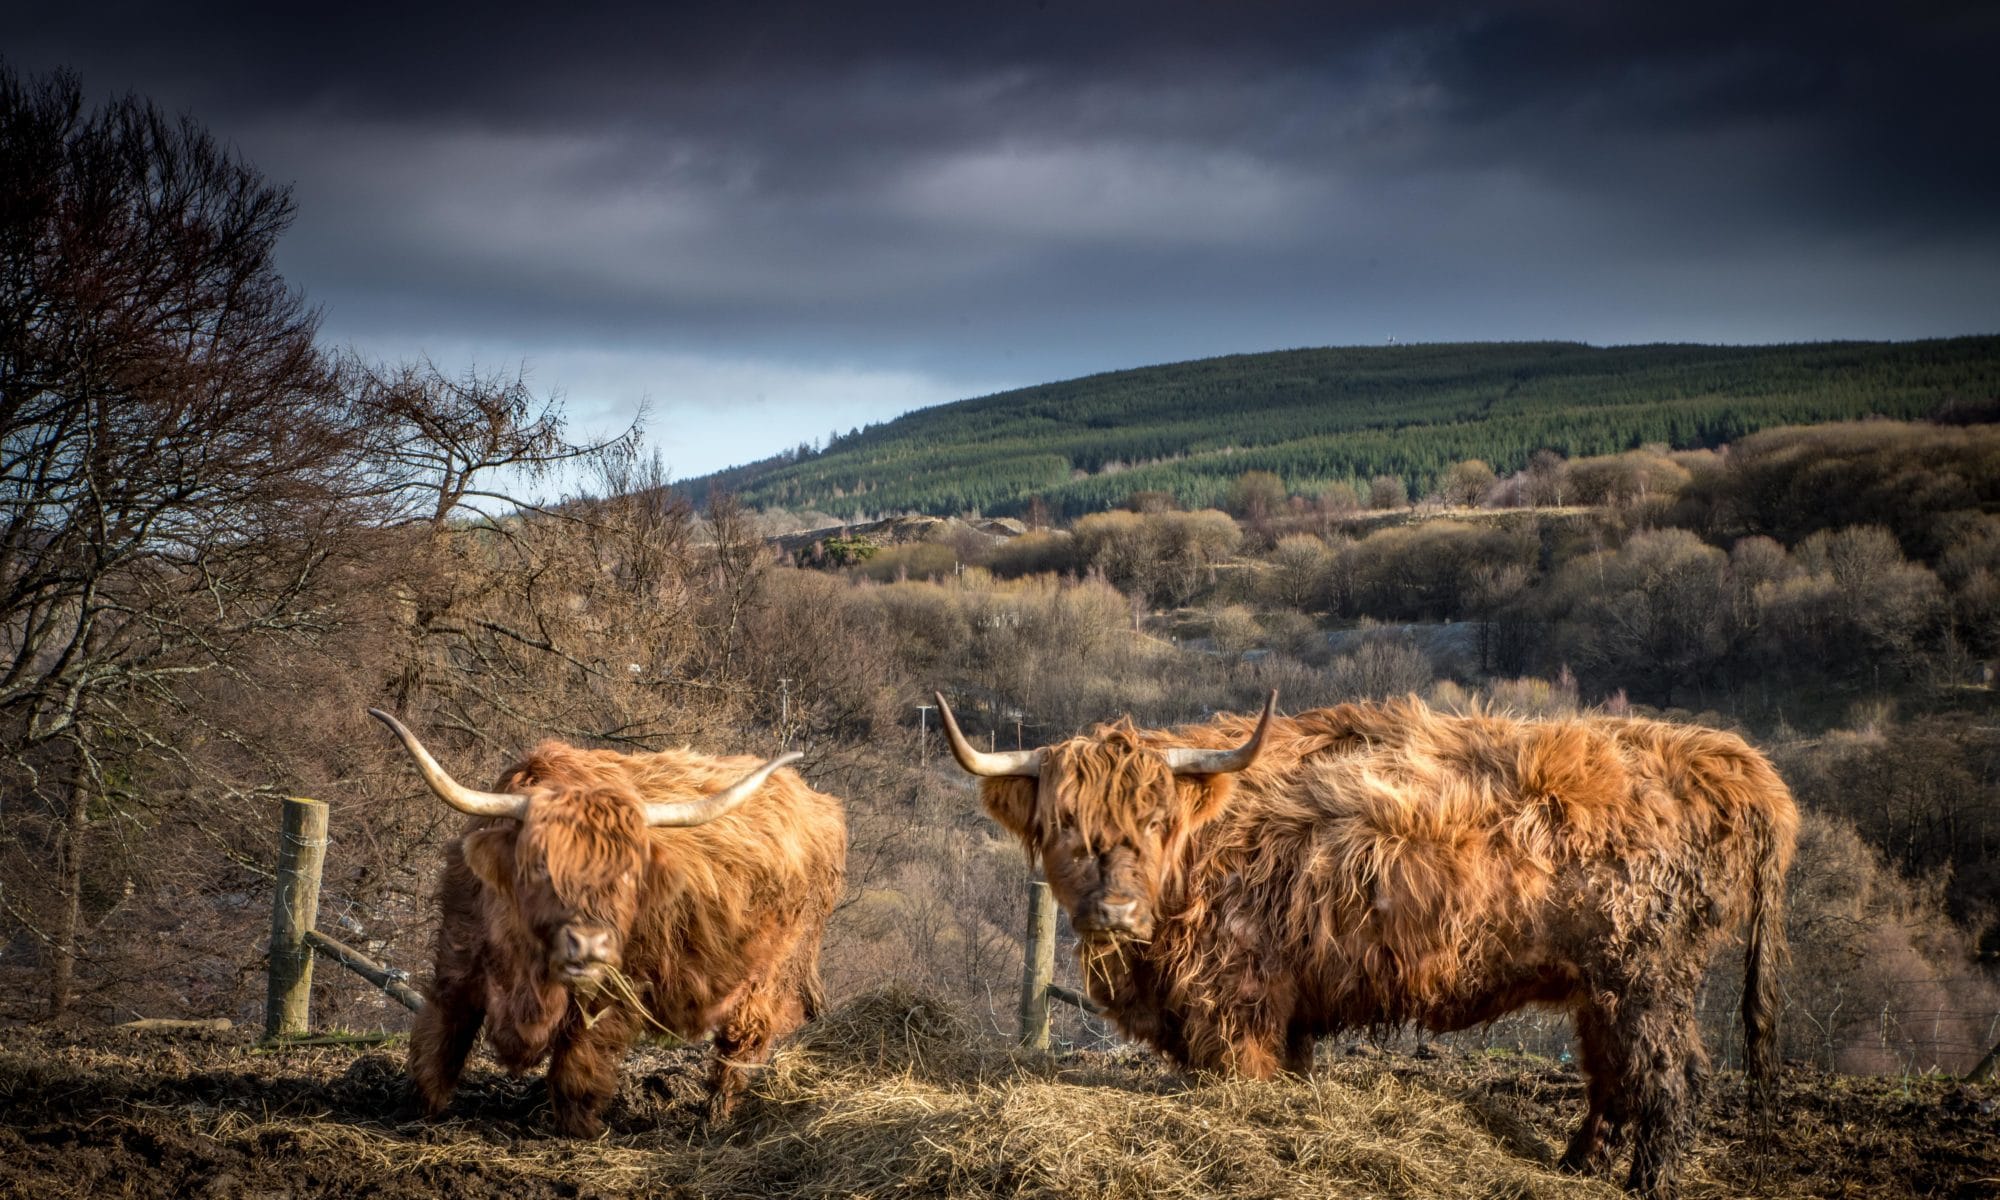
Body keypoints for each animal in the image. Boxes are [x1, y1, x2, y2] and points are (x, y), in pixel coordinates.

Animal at [368, 708, 844, 1136]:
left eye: (629, 875)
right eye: (541, 866)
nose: (589, 944)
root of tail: (820, 804)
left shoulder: (618, 987)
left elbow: (578, 1062)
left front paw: (579, 1131)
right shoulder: (458, 959)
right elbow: (439, 1041)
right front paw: (417, 1114)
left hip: (769, 974)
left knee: (741, 1044)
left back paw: (716, 1119)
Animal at [936, 688, 1800, 1192]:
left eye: (1154, 821)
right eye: (1063, 826)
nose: (1114, 910)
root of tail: (1728, 760)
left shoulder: (1235, 1000)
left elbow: (1245, 1081)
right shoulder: (1280, 1006)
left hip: (1646, 976)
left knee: (1672, 1079)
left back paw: (1640, 1185)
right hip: (1602, 987)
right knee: (1613, 1077)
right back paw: (1574, 1167)